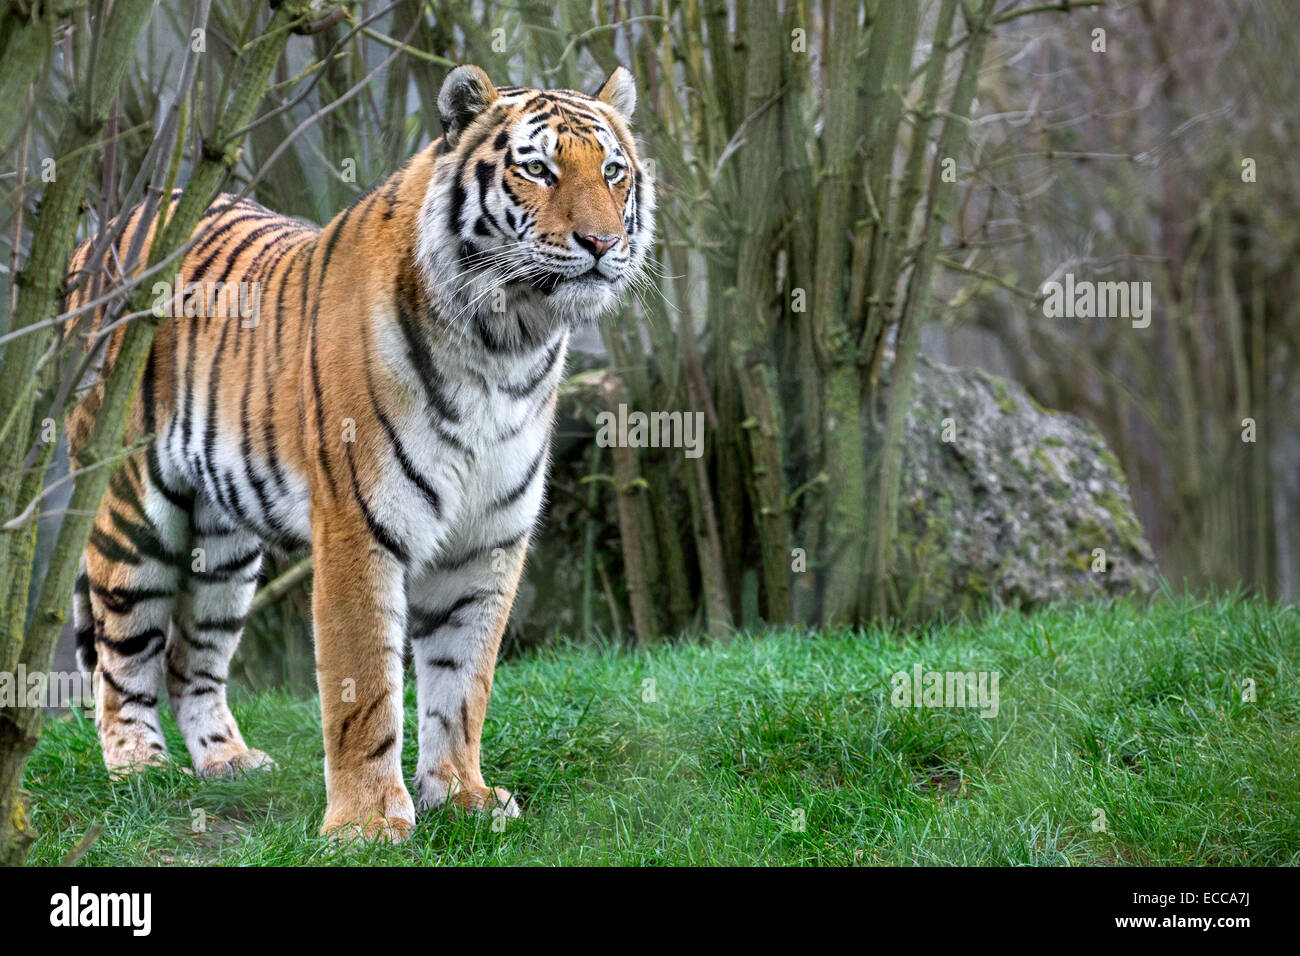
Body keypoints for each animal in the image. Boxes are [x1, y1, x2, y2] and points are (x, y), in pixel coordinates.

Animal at [59, 65, 650, 837]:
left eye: (613, 171)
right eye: (538, 170)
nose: (602, 243)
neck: (507, 346)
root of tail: (101, 235)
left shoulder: (487, 537)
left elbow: (464, 680)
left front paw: (460, 795)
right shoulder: (358, 526)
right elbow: (363, 683)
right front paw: (368, 823)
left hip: (223, 544)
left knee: (193, 653)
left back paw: (227, 761)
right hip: (131, 508)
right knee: (120, 652)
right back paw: (138, 768)